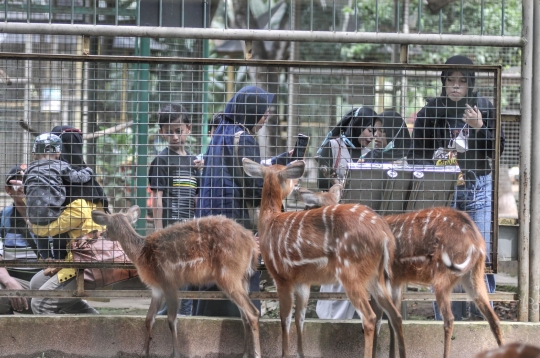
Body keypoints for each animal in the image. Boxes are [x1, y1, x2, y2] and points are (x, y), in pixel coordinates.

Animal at [92, 206, 260, 358]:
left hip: (229, 275)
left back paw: (256, 354)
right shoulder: (156, 289)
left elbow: (171, 320)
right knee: (244, 315)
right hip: (242, 278)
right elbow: (149, 319)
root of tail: (252, 245)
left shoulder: (168, 283)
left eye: (107, 225)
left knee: (253, 312)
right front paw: (144, 353)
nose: (103, 234)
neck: (141, 253)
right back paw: (245, 354)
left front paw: (176, 354)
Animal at [243, 159, 408, 358]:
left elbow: (285, 319)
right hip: (375, 276)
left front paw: (285, 354)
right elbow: (300, 318)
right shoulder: (302, 281)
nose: (297, 184)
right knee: (395, 315)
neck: (269, 222)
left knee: (370, 317)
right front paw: (301, 354)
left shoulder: (281, 275)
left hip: (350, 271)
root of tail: (385, 235)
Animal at [298, 185, 504, 358]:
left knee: (449, 319)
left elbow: (380, 320)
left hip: (442, 275)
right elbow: (392, 321)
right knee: (493, 318)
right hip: (474, 275)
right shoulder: (396, 280)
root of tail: (476, 242)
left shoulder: (381, 279)